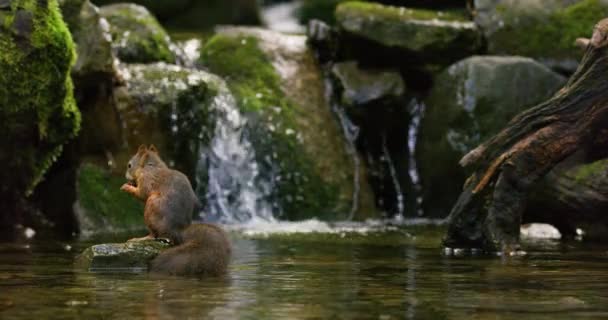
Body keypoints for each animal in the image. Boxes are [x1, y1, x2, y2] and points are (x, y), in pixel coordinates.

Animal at [120, 146, 232, 276]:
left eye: (129, 165)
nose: (126, 177)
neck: (152, 166)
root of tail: (177, 231)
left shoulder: (147, 179)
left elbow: (142, 194)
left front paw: (126, 187)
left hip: (151, 208)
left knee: (154, 235)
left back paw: (141, 238)